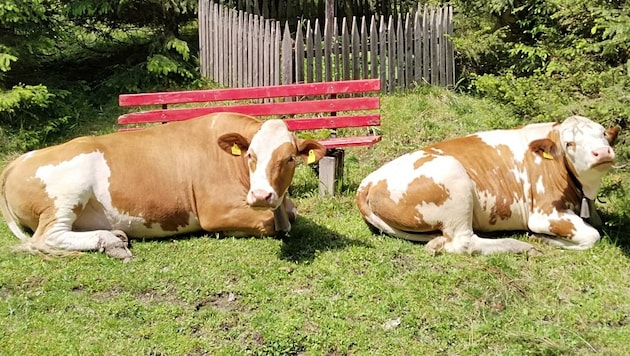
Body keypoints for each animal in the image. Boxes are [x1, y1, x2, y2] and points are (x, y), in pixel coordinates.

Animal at [0, 113, 326, 262]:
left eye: (289, 159)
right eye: (250, 156)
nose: (261, 195)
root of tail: (18, 160)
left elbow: (289, 215)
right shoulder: (214, 212)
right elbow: (269, 224)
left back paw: (114, 238)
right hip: (66, 193)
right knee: (47, 237)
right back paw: (110, 242)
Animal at [358, 115, 620, 254]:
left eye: (603, 135)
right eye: (569, 144)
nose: (602, 152)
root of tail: (368, 182)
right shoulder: (544, 213)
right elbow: (593, 235)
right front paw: (543, 239)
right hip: (454, 178)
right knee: (463, 242)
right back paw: (517, 245)